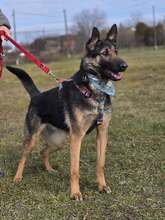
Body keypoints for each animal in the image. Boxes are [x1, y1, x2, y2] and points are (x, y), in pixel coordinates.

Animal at [6, 24, 127, 201]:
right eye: (104, 53)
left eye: (116, 51)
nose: (125, 66)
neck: (94, 89)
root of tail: (36, 95)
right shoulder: (77, 137)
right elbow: (74, 169)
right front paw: (75, 193)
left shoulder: (102, 133)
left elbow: (100, 164)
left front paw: (102, 186)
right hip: (33, 138)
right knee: (23, 156)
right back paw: (17, 177)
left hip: (59, 141)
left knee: (43, 151)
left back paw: (49, 170)